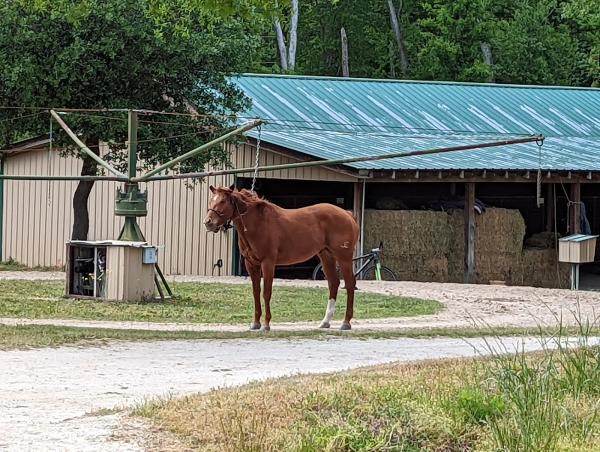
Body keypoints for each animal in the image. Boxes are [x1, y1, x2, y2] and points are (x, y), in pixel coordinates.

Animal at [204, 185, 358, 330]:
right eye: (211, 200)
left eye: (223, 201)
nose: (208, 222)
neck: (258, 223)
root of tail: (348, 214)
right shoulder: (251, 264)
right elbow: (256, 293)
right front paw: (255, 324)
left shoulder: (268, 263)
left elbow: (266, 293)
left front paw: (266, 324)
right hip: (326, 256)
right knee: (333, 283)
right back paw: (325, 322)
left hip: (344, 258)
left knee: (349, 284)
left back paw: (346, 322)